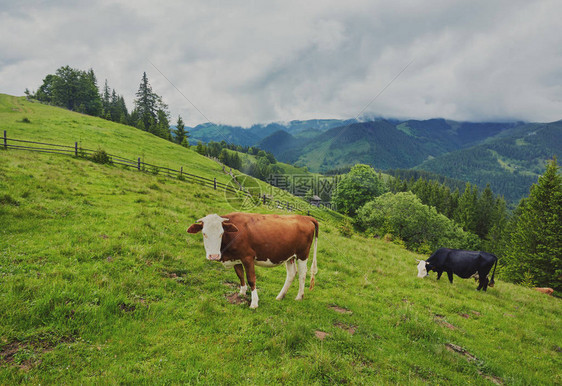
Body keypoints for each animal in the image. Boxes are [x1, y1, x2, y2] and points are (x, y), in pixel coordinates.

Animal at [187, 213, 316, 310]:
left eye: (221, 233)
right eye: (204, 233)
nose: (213, 255)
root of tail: (305, 217)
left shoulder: (248, 257)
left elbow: (251, 279)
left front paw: (254, 303)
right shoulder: (236, 258)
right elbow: (240, 275)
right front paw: (242, 293)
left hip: (302, 254)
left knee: (302, 274)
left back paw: (299, 297)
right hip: (289, 256)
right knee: (291, 273)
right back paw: (280, 296)